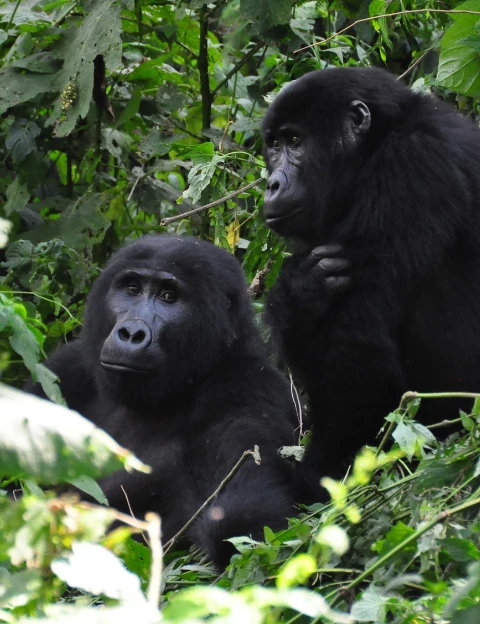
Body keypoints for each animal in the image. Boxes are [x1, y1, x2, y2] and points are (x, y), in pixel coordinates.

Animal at [29, 236, 296, 568]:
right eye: (131, 289)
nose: (131, 333)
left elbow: (246, 525)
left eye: (169, 297)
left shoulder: (248, 387)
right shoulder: (64, 368)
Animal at [260, 64, 480, 492]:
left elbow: (357, 358)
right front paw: (295, 296)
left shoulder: (412, 167)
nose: (272, 183)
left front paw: (312, 482)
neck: (379, 140)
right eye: (273, 145)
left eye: (295, 141)